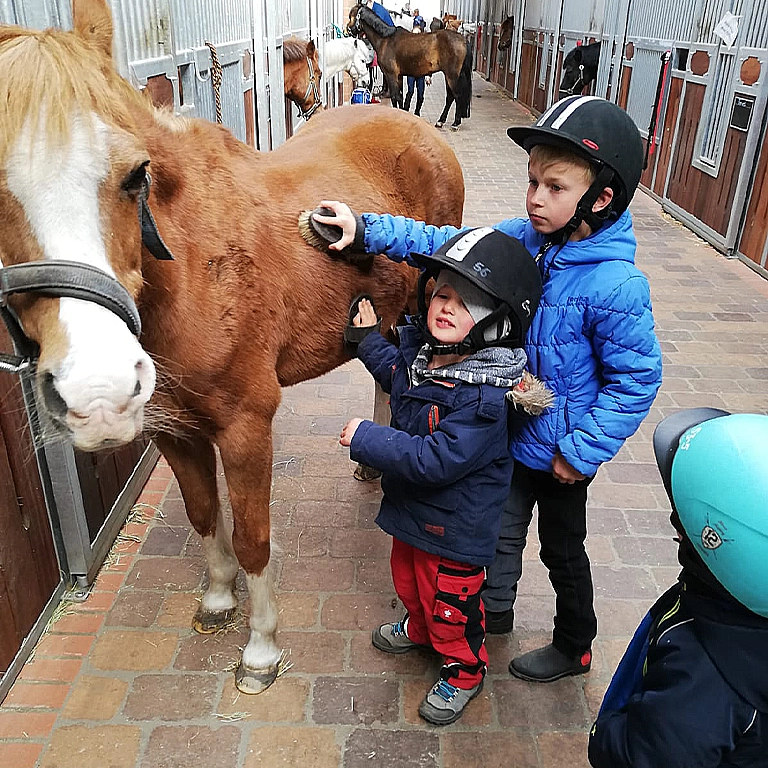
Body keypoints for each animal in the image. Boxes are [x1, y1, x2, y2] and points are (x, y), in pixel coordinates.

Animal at [347, 3, 473, 131]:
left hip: (452, 76)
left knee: (457, 96)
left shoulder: (391, 75)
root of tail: (463, 40)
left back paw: (455, 123)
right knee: (450, 97)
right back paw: (440, 121)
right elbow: (400, 97)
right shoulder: (399, 76)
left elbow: (395, 97)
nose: (348, 30)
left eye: (351, 16)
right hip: (448, 75)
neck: (385, 40)